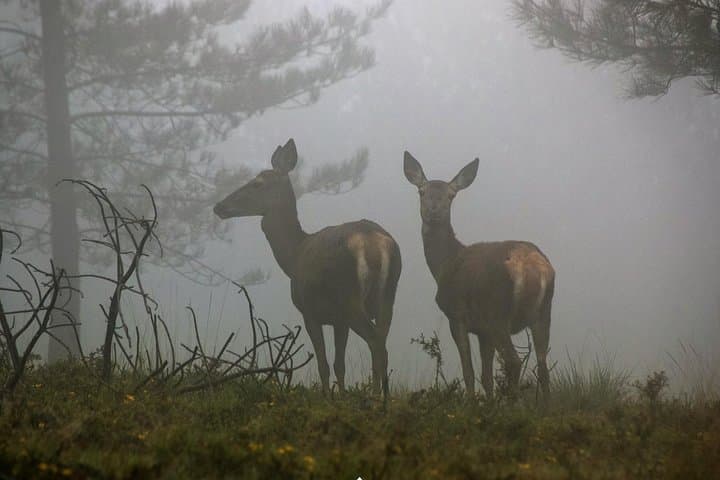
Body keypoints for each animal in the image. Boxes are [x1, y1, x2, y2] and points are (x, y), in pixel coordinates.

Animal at [214, 139, 401, 395]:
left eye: (257, 183)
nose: (219, 206)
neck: (294, 255)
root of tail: (376, 243)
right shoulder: (338, 320)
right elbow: (339, 364)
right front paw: (342, 397)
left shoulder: (309, 311)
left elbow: (323, 365)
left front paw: (328, 398)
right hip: (387, 298)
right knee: (383, 345)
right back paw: (385, 397)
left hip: (350, 298)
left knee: (374, 342)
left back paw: (374, 398)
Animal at [403, 152, 554, 398]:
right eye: (422, 191)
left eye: (451, 195)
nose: (434, 211)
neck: (444, 264)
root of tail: (534, 268)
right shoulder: (483, 331)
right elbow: (486, 376)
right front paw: (489, 402)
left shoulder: (456, 315)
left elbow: (469, 372)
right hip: (543, 313)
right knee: (543, 365)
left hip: (498, 313)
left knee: (514, 362)